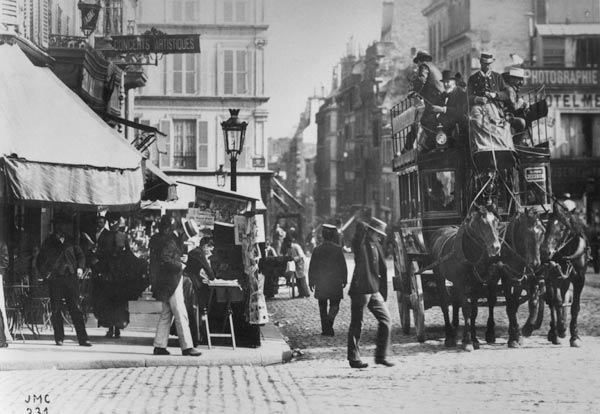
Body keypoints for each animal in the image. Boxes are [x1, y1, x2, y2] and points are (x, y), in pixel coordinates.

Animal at [428, 205, 504, 350]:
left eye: (496, 221)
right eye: (481, 223)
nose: (496, 247)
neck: (469, 253)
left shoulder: (476, 283)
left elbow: (474, 310)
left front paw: (473, 339)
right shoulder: (460, 282)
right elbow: (466, 309)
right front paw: (467, 341)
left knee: (455, 301)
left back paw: (455, 331)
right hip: (439, 275)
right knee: (444, 303)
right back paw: (449, 336)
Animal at [486, 209, 548, 348]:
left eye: (543, 231)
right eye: (524, 232)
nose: (535, 263)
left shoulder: (523, 280)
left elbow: (523, 304)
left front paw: (520, 332)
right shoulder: (506, 280)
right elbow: (510, 306)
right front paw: (513, 337)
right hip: (493, 278)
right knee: (491, 301)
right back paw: (490, 332)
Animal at [532, 207, 588, 346]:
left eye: (563, 228)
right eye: (548, 226)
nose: (544, 251)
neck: (569, 256)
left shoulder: (580, 279)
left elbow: (575, 306)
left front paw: (574, 337)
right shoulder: (554, 277)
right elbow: (556, 301)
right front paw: (561, 329)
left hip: (566, 281)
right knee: (551, 301)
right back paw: (554, 332)